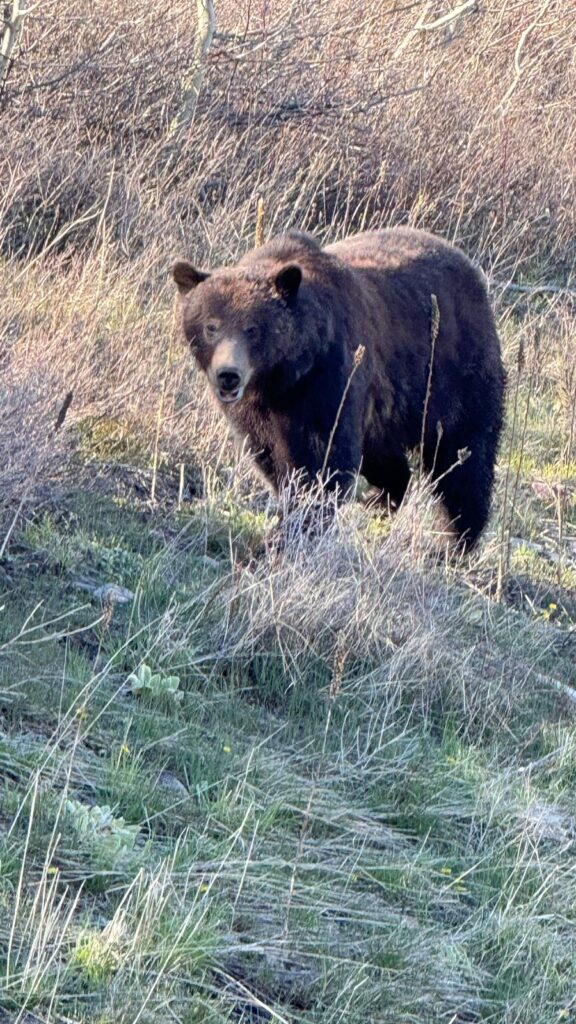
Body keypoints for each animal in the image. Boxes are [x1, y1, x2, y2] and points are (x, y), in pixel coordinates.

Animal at [173, 227, 505, 549]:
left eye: (252, 329)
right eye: (211, 326)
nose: (228, 375)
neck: (283, 379)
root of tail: (469, 267)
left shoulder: (329, 381)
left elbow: (325, 461)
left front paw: (287, 532)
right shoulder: (257, 411)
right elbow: (272, 456)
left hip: (454, 377)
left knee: (465, 460)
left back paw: (454, 541)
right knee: (388, 459)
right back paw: (380, 500)